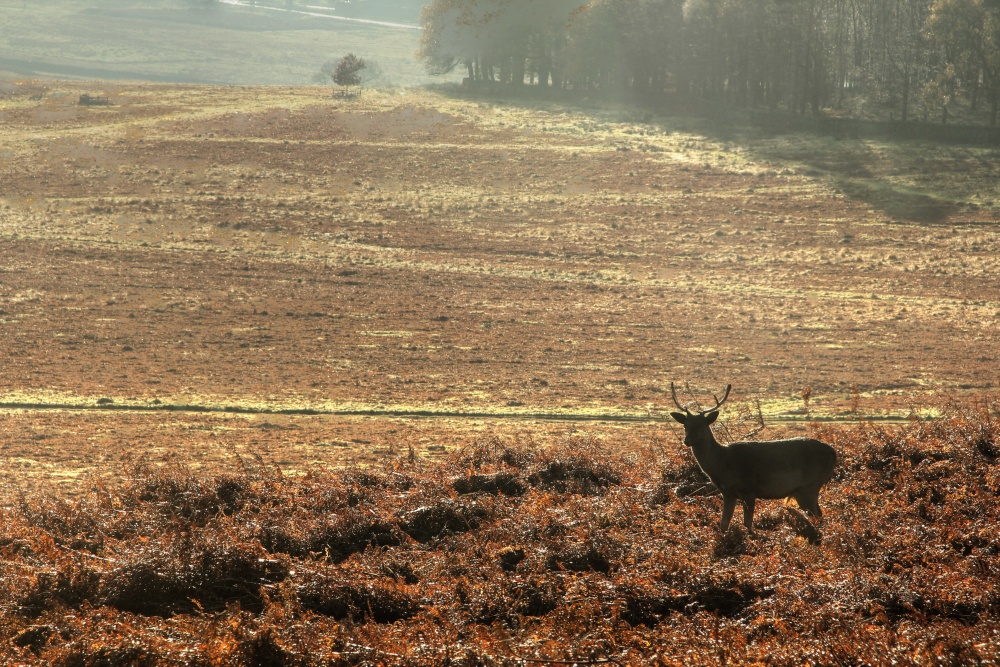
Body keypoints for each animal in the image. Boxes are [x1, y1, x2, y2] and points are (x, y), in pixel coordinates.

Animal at [672, 384, 836, 536]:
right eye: (685, 425)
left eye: (702, 425)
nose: (687, 441)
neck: (723, 465)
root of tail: (834, 454)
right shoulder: (728, 493)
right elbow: (724, 524)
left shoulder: (749, 489)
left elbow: (748, 524)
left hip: (810, 486)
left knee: (818, 514)